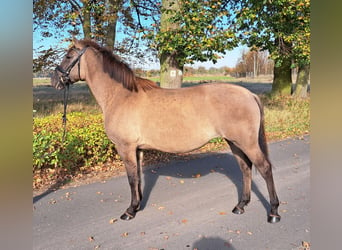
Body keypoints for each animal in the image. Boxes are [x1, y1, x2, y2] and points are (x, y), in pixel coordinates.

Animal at [50, 38, 280, 223]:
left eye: (69, 56)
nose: (54, 81)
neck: (120, 96)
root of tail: (249, 94)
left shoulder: (126, 148)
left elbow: (131, 178)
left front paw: (129, 212)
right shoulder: (138, 149)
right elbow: (138, 177)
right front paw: (137, 205)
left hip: (247, 143)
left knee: (265, 168)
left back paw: (274, 212)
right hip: (234, 142)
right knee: (245, 168)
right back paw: (241, 206)